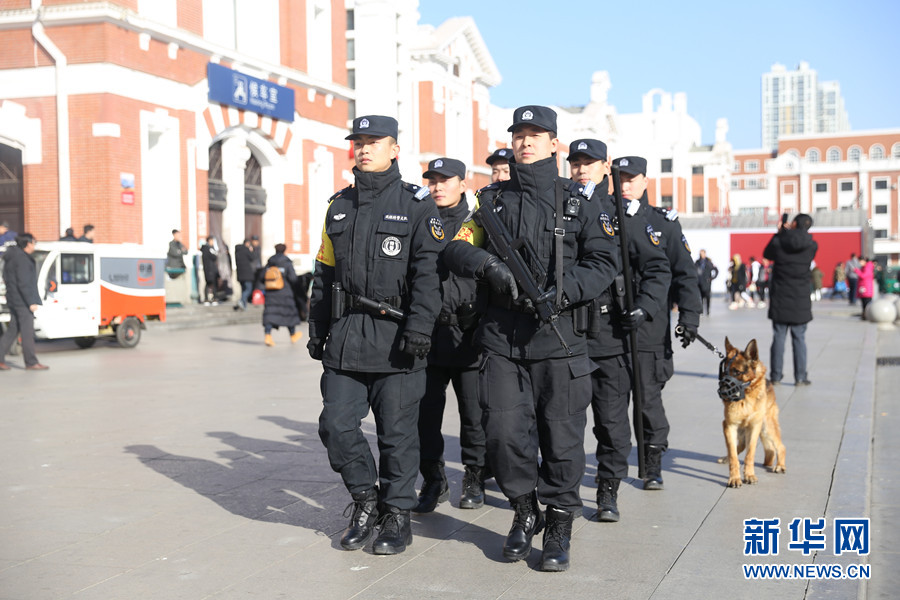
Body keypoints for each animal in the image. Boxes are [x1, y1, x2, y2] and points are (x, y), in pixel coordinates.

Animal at [716, 338, 788, 488]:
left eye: (737, 372)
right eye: (724, 372)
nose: (722, 393)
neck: (745, 396)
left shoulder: (754, 427)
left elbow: (750, 453)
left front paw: (749, 475)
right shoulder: (729, 425)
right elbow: (733, 454)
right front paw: (734, 478)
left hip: (766, 426)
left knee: (780, 447)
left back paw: (780, 465)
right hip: (741, 430)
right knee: (739, 446)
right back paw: (726, 458)